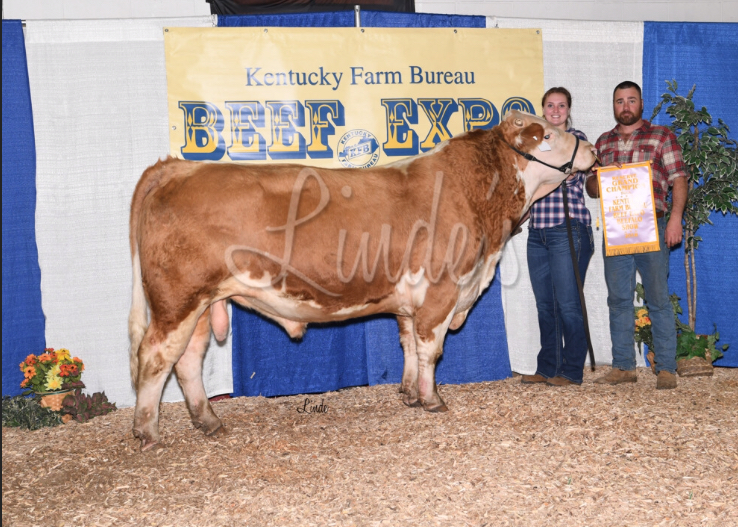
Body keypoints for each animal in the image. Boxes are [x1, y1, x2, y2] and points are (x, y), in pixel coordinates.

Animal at [129, 111, 596, 450]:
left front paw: (410, 395)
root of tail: (177, 167)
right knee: (155, 358)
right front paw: (432, 400)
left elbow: (409, 346)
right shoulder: (442, 291)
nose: (591, 147)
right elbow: (431, 349)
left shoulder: (411, 300)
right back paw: (148, 433)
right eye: (547, 134)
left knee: (188, 360)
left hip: (201, 302)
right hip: (177, 300)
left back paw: (208, 421)